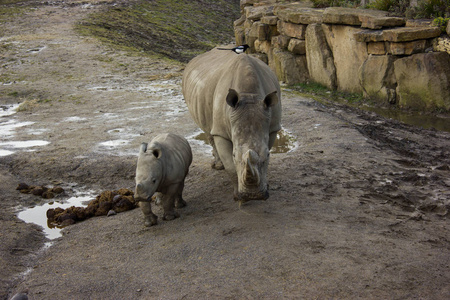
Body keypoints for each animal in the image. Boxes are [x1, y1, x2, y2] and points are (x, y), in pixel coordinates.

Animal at [182, 45, 282, 203]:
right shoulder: (221, 132)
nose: (254, 196)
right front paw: (238, 196)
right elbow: (230, 166)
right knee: (208, 130)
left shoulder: (272, 127)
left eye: (267, 155)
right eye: (234, 155)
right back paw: (218, 166)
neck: (250, 96)